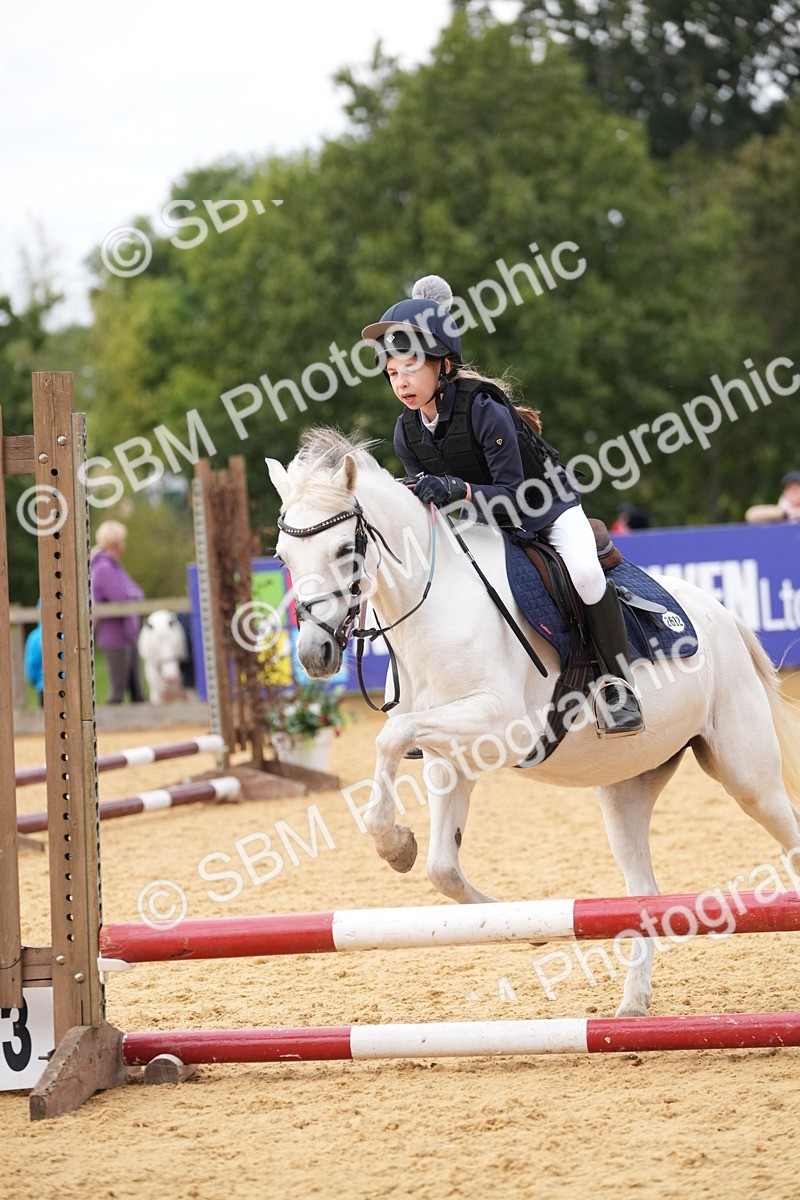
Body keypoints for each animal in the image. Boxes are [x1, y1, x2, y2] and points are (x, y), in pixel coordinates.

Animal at [267, 429, 800, 1017]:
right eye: (282, 557)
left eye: (345, 550)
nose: (314, 655)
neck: (434, 608)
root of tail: (724, 614)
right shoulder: (450, 757)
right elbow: (441, 868)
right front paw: (509, 919)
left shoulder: (504, 728)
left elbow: (389, 737)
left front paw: (393, 843)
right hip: (627, 788)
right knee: (645, 890)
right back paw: (632, 1004)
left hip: (747, 775)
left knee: (785, 835)